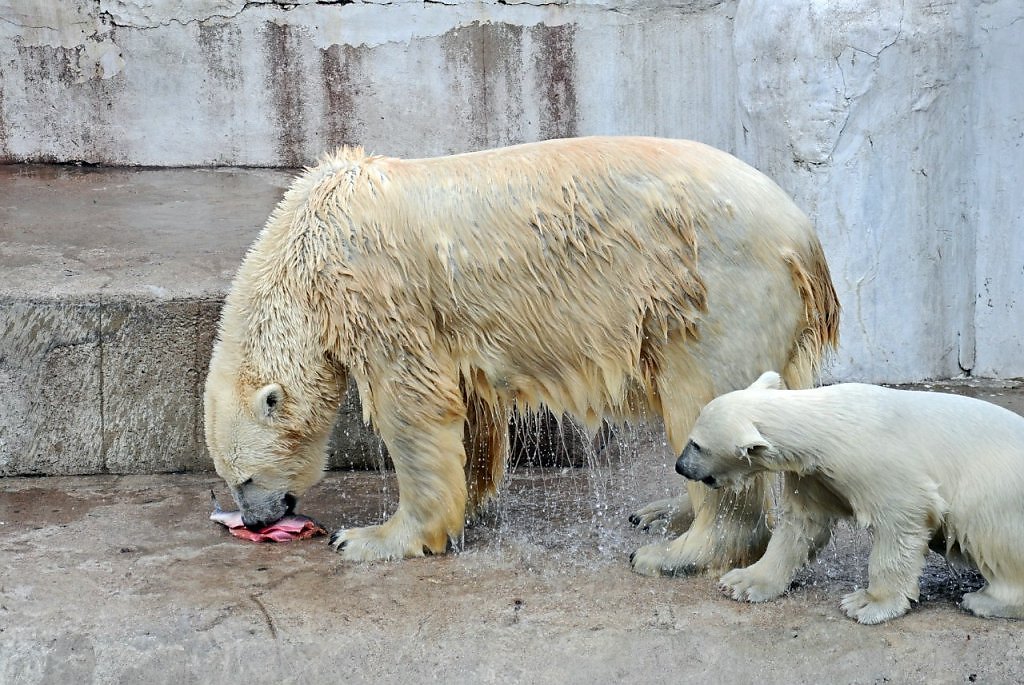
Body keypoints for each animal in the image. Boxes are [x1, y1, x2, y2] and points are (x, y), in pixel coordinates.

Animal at [201, 135, 839, 565]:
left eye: (246, 479)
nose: (257, 519)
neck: (309, 237)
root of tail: (805, 241)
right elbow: (469, 409)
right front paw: (470, 501)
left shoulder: (378, 289)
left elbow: (411, 407)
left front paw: (370, 538)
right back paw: (660, 513)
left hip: (711, 290)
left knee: (704, 397)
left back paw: (678, 552)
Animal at [675, 370, 1024, 622]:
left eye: (696, 445)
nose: (680, 466)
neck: (827, 422)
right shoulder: (813, 475)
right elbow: (801, 524)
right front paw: (744, 582)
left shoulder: (876, 461)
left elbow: (902, 518)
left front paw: (868, 603)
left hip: (996, 484)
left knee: (989, 531)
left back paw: (986, 600)